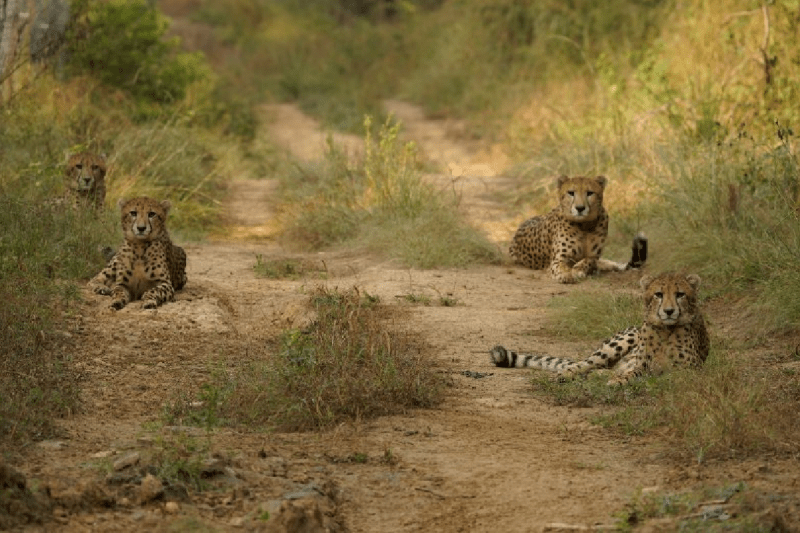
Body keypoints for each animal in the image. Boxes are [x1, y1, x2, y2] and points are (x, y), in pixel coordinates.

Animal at [489, 272, 710, 386]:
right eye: (659, 294)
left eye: (680, 294)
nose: (669, 311)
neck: (666, 329)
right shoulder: (641, 365)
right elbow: (636, 373)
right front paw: (622, 381)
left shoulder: (691, 371)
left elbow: (665, 376)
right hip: (623, 339)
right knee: (583, 364)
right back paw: (564, 375)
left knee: (602, 369)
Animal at [509, 175, 647, 284]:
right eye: (571, 192)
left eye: (590, 192)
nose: (580, 208)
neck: (583, 225)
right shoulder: (558, 259)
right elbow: (561, 267)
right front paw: (566, 274)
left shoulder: (594, 255)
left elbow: (588, 261)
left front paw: (578, 270)